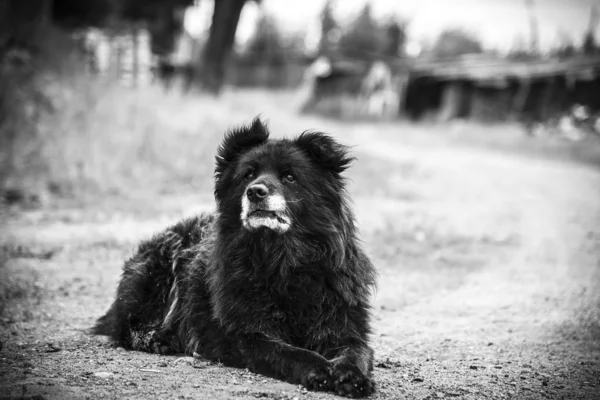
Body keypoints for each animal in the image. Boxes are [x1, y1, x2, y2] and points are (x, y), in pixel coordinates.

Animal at [93, 118, 376, 396]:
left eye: (290, 177)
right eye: (248, 174)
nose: (255, 191)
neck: (280, 258)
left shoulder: (344, 324)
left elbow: (357, 350)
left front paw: (352, 375)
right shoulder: (245, 335)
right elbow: (289, 352)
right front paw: (321, 369)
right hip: (156, 272)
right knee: (126, 324)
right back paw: (156, 339)